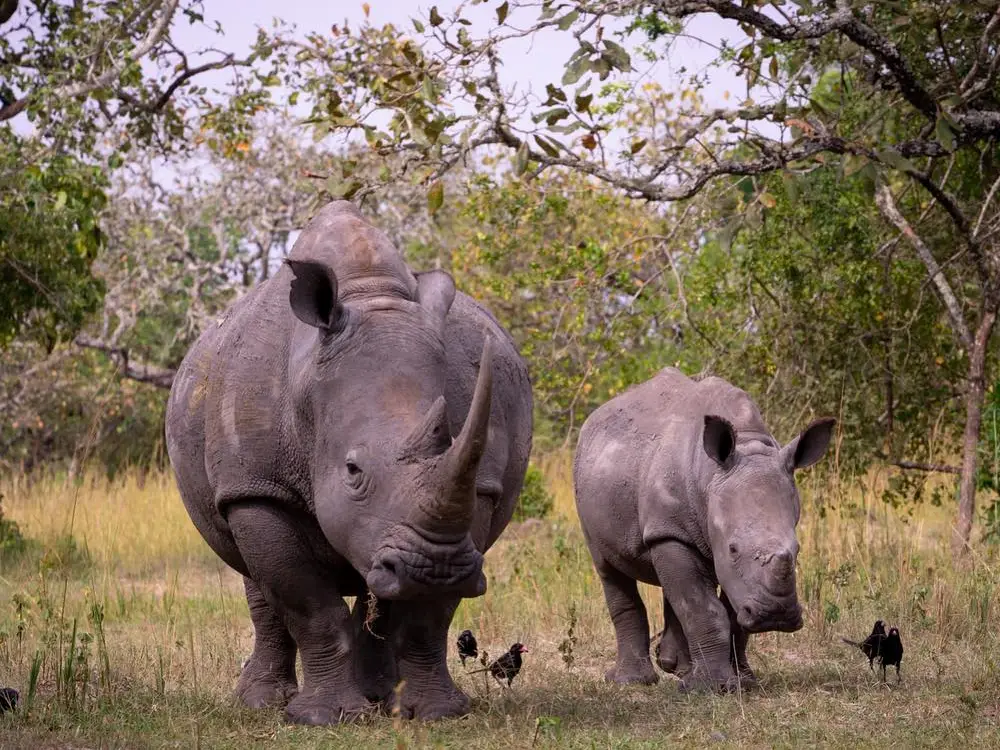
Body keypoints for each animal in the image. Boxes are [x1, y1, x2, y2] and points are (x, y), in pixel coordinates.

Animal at [165, 201, 532, 724]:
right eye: (352, 471)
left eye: (450, 444)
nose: (436, 567)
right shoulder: (258, 486)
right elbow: (310, 606)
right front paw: (323, 718)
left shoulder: (477, 489)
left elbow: (427, 615)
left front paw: (437, 713)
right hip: (235, 473)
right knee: (258, 580)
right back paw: (264, 703)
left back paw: (379, 697)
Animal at [573, 367, 833, 691]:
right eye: (733, 548)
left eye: (798, 550)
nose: (776, 616)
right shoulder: (671, 530)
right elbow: (702, 608)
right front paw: (712, 688)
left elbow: (730, 611)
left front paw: (744, 681)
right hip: (591, 488)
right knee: (609, 567)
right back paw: (631, 682)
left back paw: (680, 669)